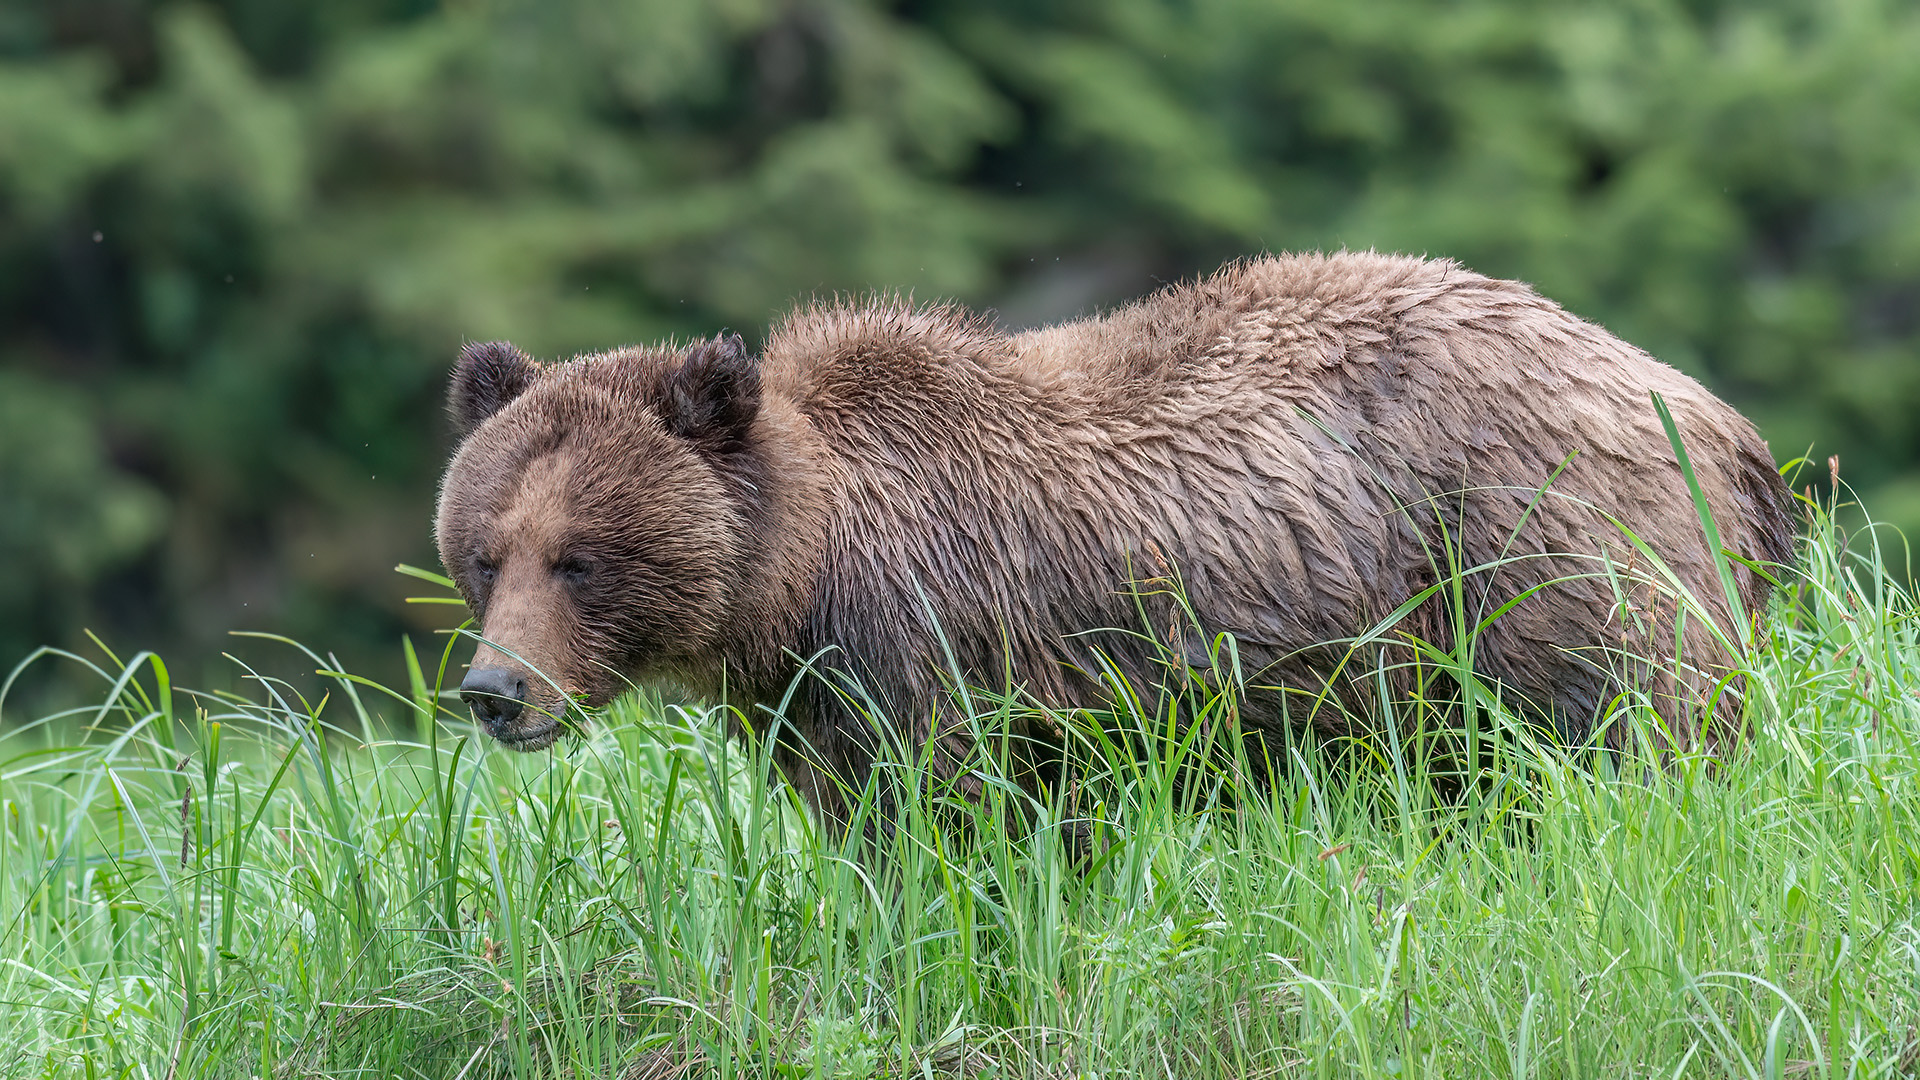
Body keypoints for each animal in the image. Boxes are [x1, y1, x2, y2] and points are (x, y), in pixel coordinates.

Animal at [434, 251, 1794, 830]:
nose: (495, 691)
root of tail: (1706, 407)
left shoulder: (936, 647)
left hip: (1534, 548)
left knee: (1624, 732)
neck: (797, 577)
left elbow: (954, 826)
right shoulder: (813, 702)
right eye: (485, 552)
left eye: (581, 556)